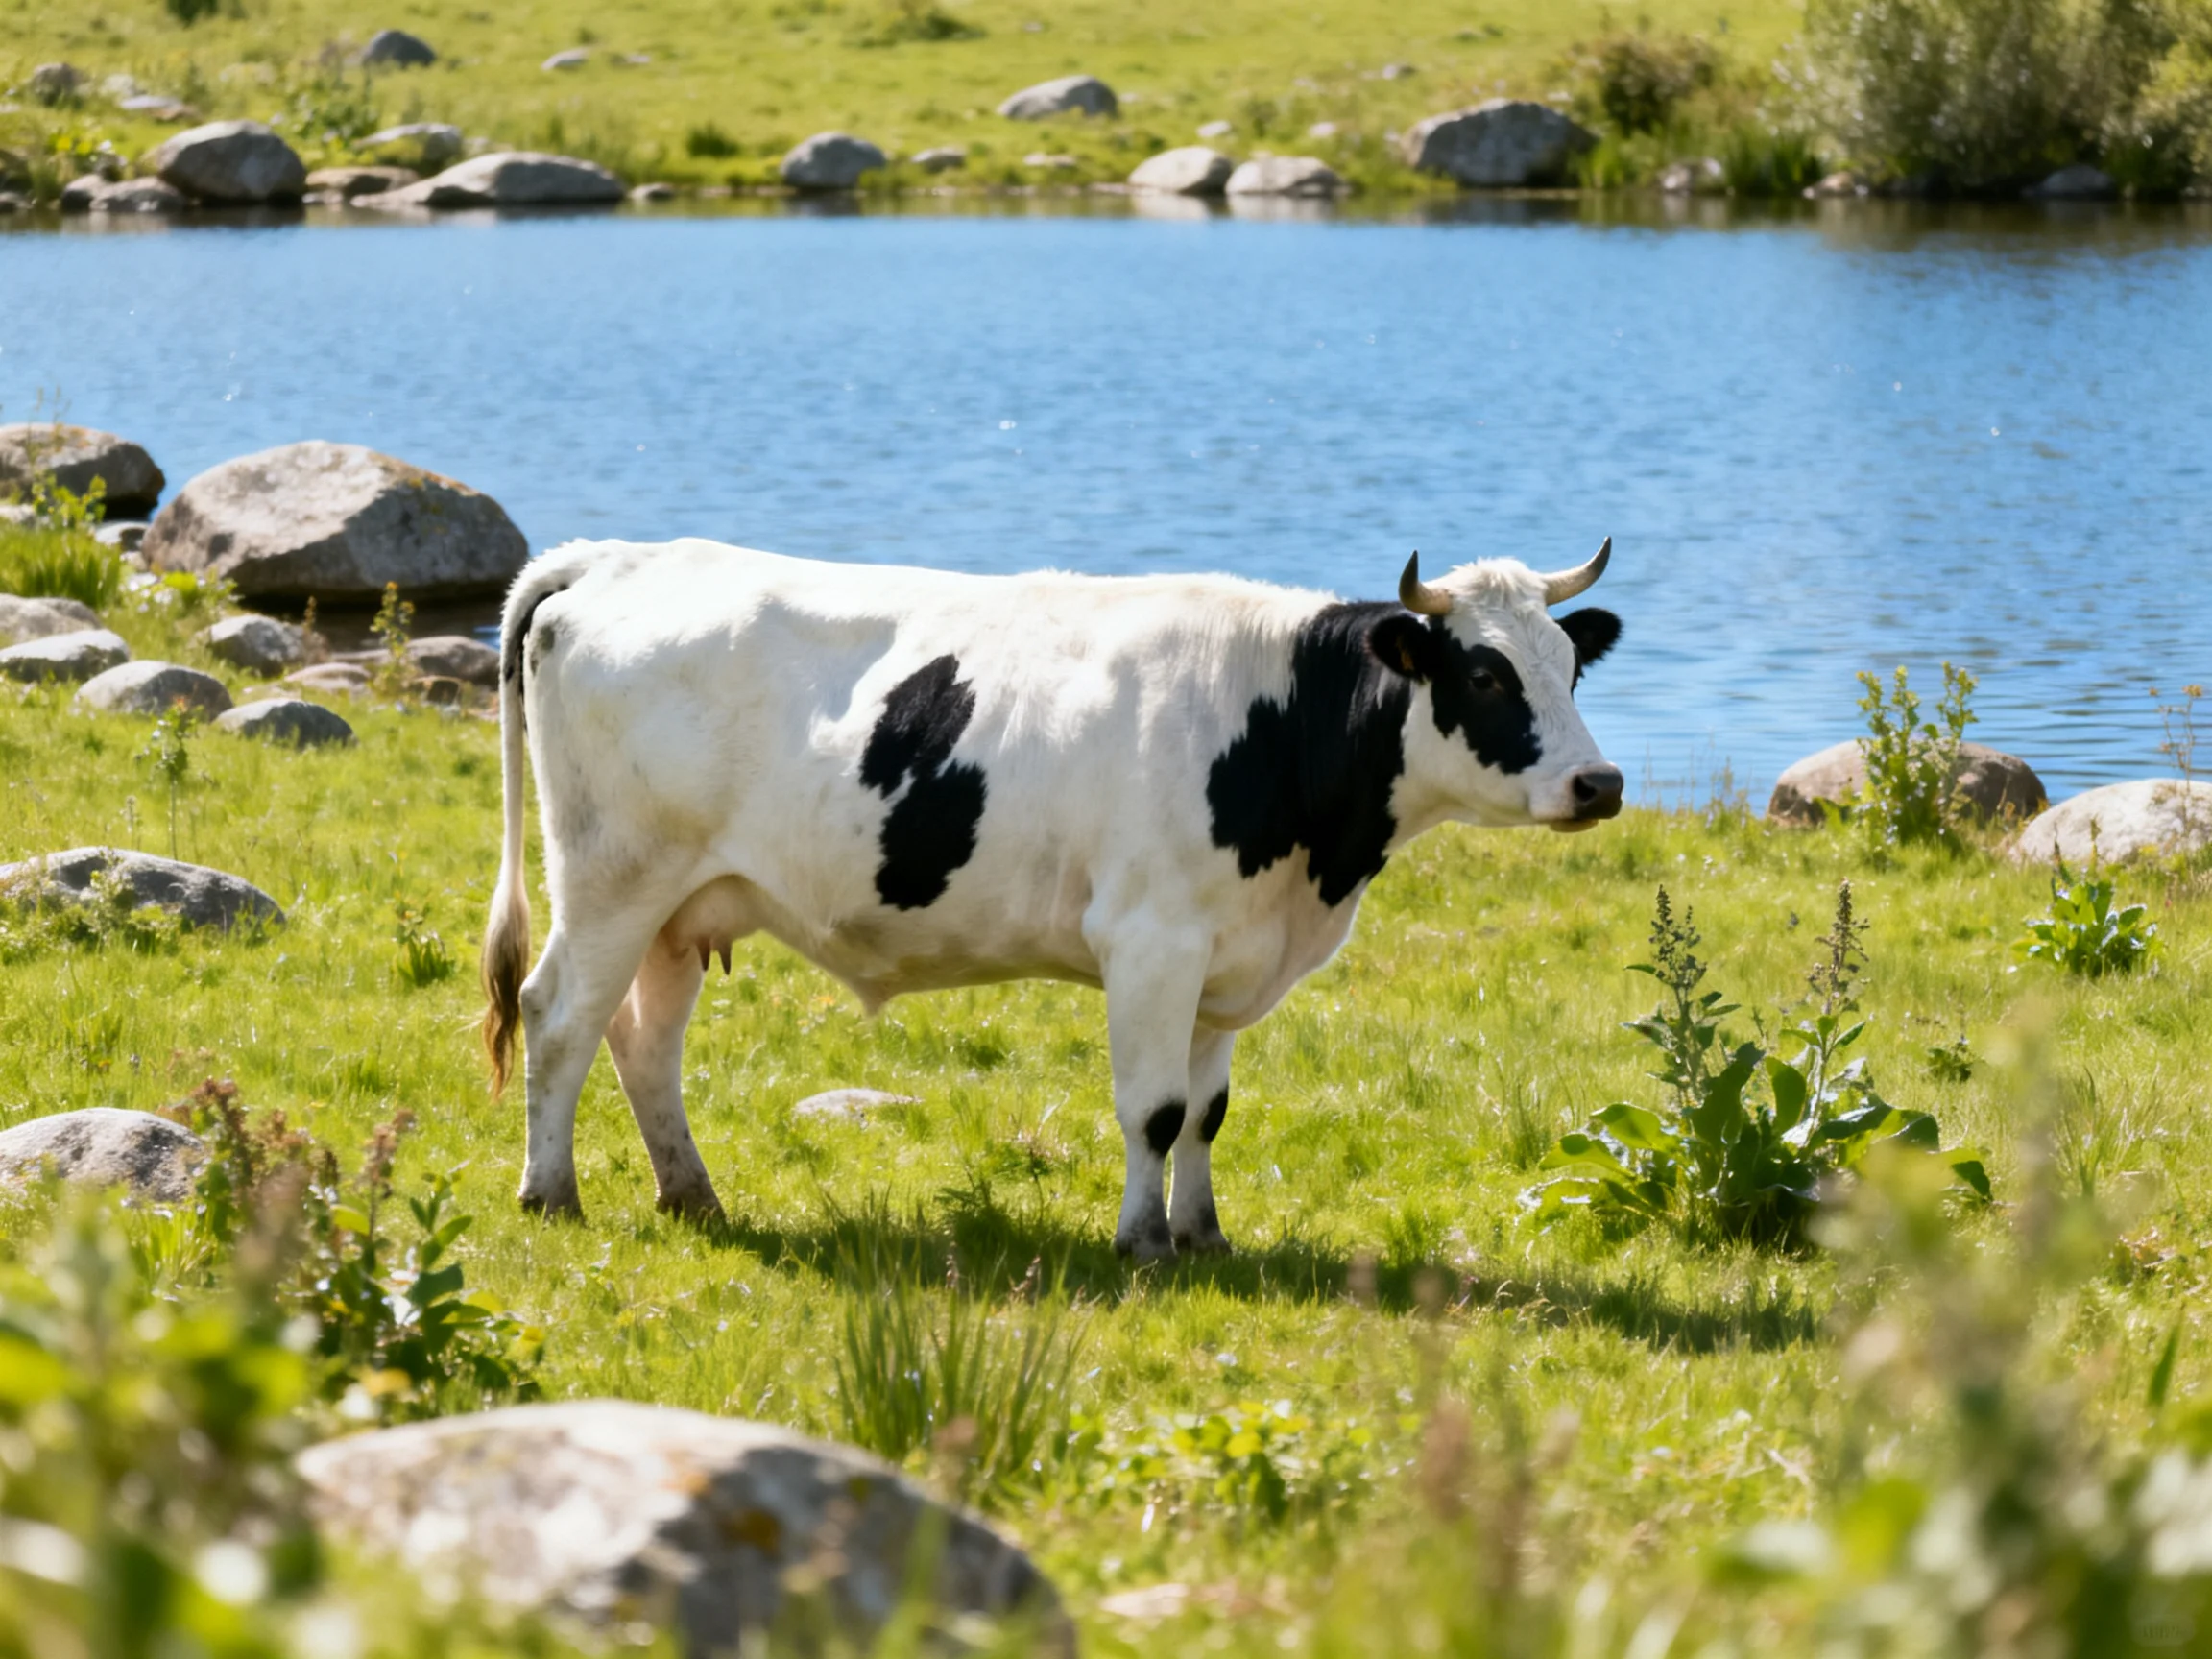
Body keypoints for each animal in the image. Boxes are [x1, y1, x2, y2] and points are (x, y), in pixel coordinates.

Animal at [481, 538, 1624, 1259]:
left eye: (1572, 666)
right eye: (1485, 676)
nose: (1601, 783)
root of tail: (616, 556)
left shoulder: (1225, 951)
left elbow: (1207, 1112)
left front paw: (1205, 1236)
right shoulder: (1151, 940)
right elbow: (1154, 1109)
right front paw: (1143, 1243)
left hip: (684, 904)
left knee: (643, 1039)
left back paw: (693, 1196)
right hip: (611, 876)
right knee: (558, 1015)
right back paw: (550, 1194)